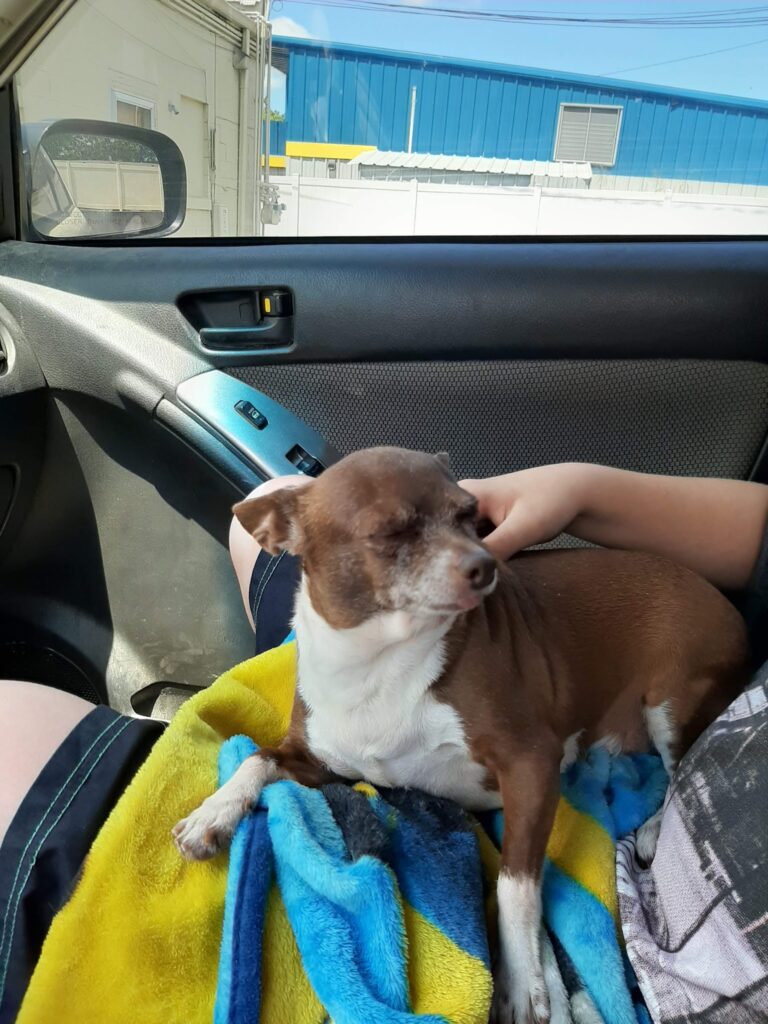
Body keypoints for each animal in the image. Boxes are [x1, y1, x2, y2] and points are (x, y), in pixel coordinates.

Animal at [173, 447, 750, 1024]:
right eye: (391, 532)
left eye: (470, 516)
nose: (485, 563)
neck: (378, 665)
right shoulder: (314, 757)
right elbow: (258, 758)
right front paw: (213, 813)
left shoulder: (531, 765)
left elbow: (515, 884)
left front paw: (521, 978)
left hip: (672, 702)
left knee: (679, 771)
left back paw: (650, 830)